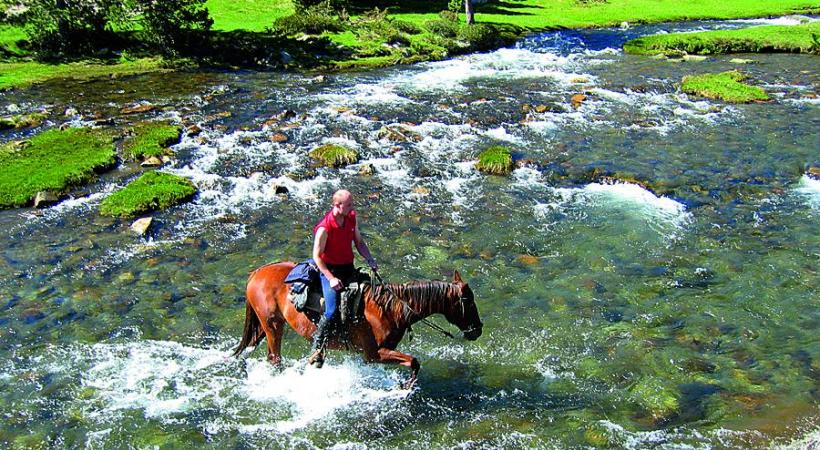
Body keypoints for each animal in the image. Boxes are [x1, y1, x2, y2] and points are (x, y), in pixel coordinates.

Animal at [232, 262, 480, 388]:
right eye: (468, 301)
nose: (478, 330)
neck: (389, 308)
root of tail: (257, 273)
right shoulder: (374, 354)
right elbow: (414, 361)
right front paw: (405, 387)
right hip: (273, 326)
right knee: (275, 359)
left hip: (265, 327)